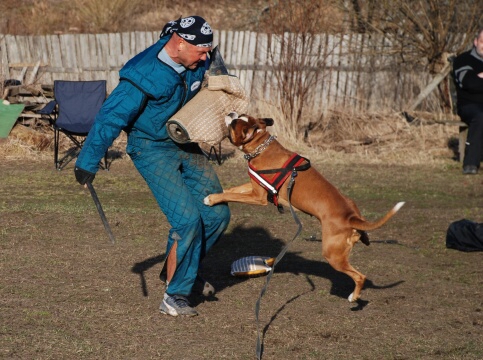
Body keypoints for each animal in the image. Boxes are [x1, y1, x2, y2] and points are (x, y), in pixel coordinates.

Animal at [204, 114, 404, 300]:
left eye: (235, 123)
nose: (231, 113)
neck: (261, 145)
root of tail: (351, 217)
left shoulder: (257, 196)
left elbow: (232, 195)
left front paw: (212, 199)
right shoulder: (253, 186)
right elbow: (233, 190)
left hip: (333, 255)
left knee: (360, 276)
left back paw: (353, 297)